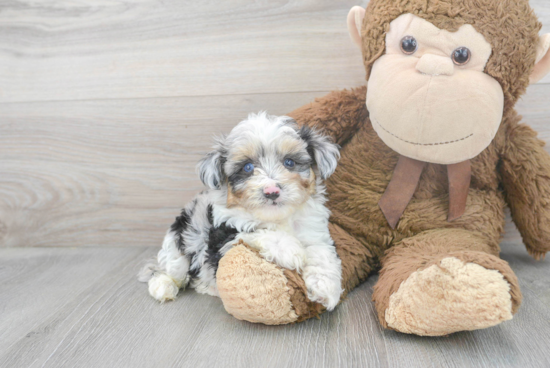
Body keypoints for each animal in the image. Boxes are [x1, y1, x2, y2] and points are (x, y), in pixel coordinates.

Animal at [139, 111, 344, 310]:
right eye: (247, 167)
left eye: (289, 162)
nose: (272, 191)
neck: (277, 217)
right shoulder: (225, 234)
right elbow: (258, 231)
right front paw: (291, 250)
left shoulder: (314, 232)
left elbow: (321, 253)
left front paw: (325, 288)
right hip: (178, 245)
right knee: (169, 269)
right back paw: (163, 286)